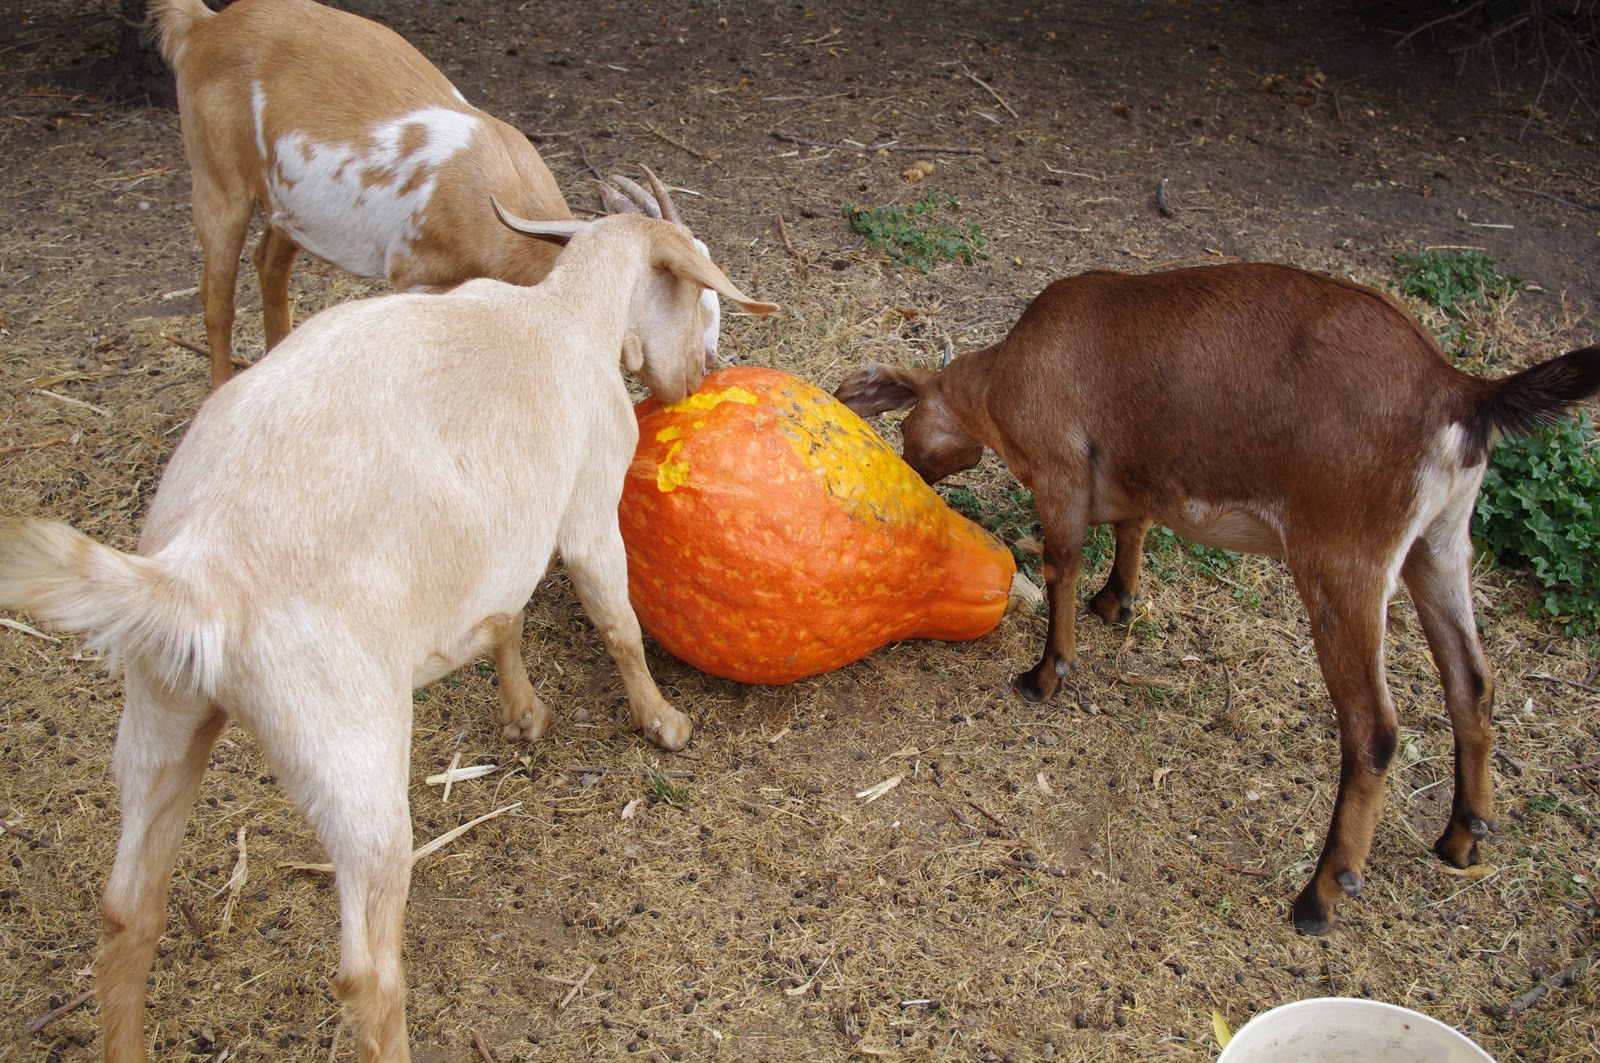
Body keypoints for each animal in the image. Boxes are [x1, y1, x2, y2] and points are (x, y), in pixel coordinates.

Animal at [0, 210, 777, 1063]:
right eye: (703, 293)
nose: (702, 374)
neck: (563, 312)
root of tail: (198, 572)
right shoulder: (586, 508)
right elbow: (618, 622)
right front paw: (662, 720)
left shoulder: (501, 539)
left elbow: (505, 616)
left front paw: (523, 713)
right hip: (350, 749)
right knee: (367, 975)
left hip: (161, 708)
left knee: (128, 910)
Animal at [152, 0, 723, 386]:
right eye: (677, 287)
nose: (702, 369)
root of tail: (204, 25)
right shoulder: (415, 278)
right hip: (217, 183)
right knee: (216, 296)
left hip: (286, 204)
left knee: (270, 262)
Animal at [835, 262, 1600, 935]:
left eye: (905, 423)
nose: (914, 468)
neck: (1007, 377)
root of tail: (1459, 390)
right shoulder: (1132, 474)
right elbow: (1133, 527)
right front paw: (1118, 602)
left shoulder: (1060, 469)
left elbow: (1061, 566)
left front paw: (1045, 675)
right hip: (1439, 544)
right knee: (1472, 681)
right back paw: (1464, 836)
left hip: (1343, 559)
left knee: (1375, 731)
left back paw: (1321, 895)